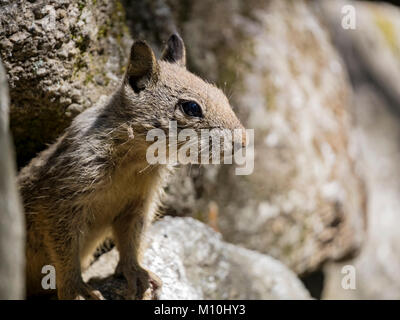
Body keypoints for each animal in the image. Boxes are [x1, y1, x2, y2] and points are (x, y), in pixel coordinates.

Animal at [18, 33, 247, 298]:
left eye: (221, 95)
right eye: (191, 107)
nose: (244, 140)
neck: (135, 162)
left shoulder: (137, 205)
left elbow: (131, 241)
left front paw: (137, 273)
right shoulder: (61, 202)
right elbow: (65, 251)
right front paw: (77, 287)